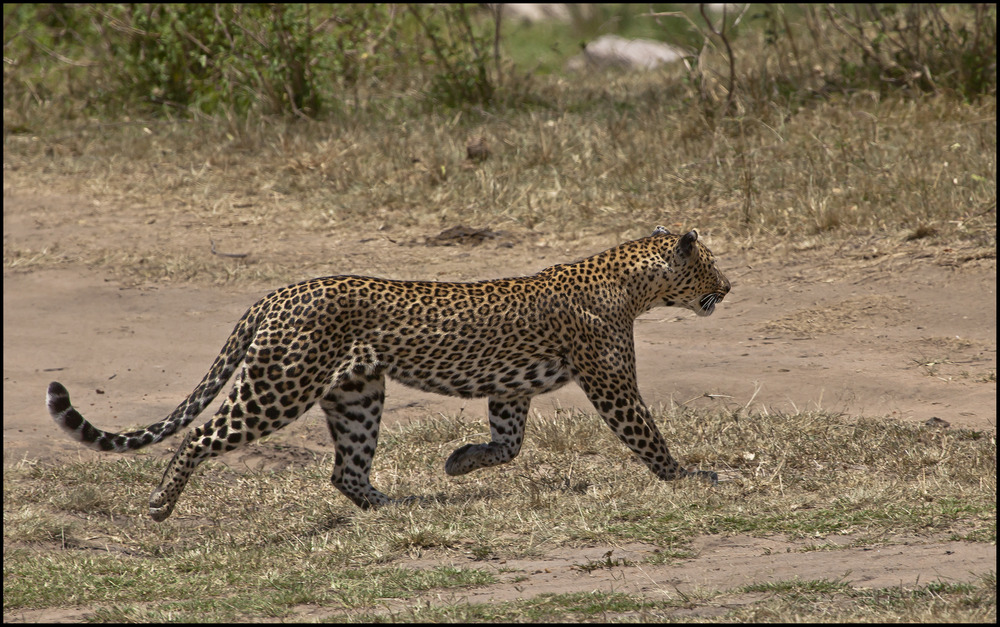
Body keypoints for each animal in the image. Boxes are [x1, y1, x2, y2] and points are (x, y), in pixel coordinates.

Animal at [47, 226, 732, 520]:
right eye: (712, 265)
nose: (729, 288)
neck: (636, 283)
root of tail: (275, 294)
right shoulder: (610, 381)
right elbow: (646, 435)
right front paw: (690, 478)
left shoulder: (509, 389)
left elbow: (508, 444)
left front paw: (459, 462)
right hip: (279, 385)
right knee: (199, 435)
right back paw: (160, 504)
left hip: (356, 394)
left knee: (345, 470)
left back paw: (400, 504)